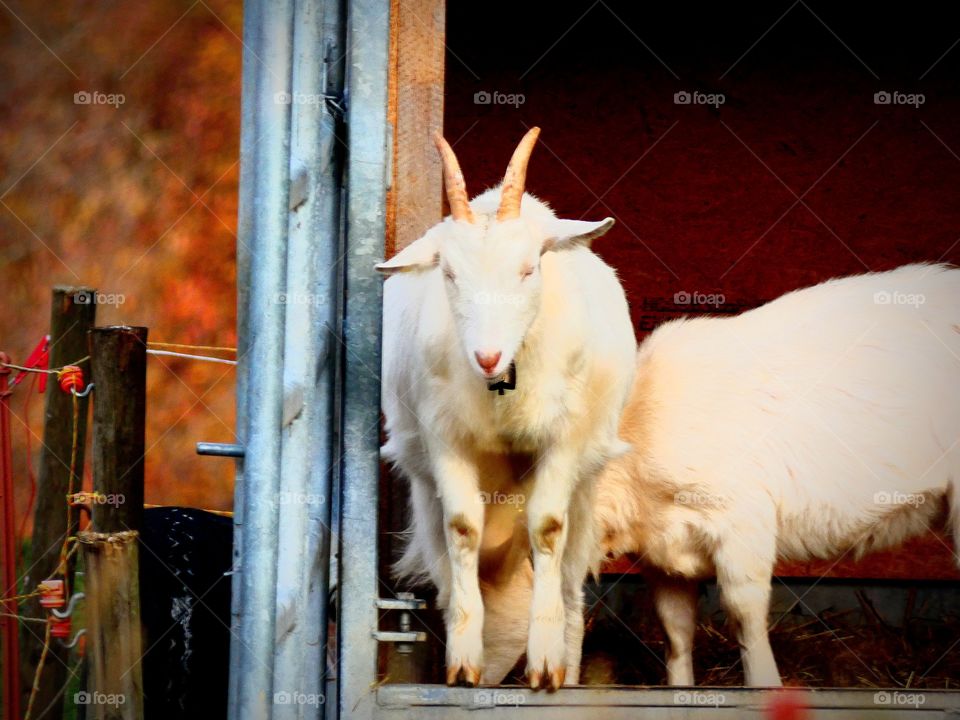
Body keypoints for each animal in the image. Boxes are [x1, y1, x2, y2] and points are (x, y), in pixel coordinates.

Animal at [377, 128, 636, 690]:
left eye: (528, 267)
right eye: (449, 274)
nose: (487, 356)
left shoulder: (564, 440)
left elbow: (548, 527)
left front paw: (545, 665)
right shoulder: (444, 437)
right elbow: (462, 528)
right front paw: (463, 663)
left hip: (588, 482)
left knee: (569, 582)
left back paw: (568, 666)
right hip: (424, 492)